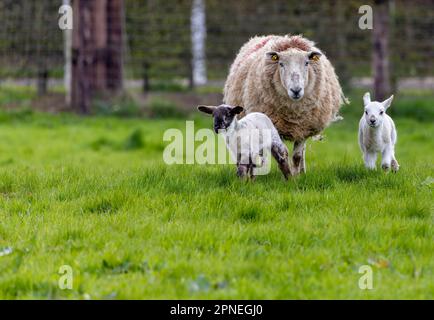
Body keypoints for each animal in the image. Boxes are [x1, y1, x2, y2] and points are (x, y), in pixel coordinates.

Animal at [225, 34, 348, 175]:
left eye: (307, 63)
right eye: (281, 64)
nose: (296, 90)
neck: (293, 113)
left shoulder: (303, 127)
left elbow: (297, 156)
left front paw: (296, 176)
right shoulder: (272, 126)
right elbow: (282, 153)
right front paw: (288, 174)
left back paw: (302, 171)